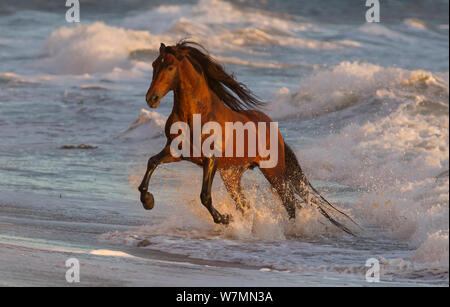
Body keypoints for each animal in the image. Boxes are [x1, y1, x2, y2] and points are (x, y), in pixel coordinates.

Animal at [137, 41, 358, 237]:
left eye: (170, 67)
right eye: (154, 64)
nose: (151, 98)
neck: (196, 114)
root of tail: (275, 130)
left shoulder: (211, 159)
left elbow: (205, 196)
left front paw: (225, 219)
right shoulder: (176, 152)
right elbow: (152, 162)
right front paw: (148, 200)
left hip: (274, 172)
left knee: (289, 203)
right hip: (232, 176)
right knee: (245, 205)